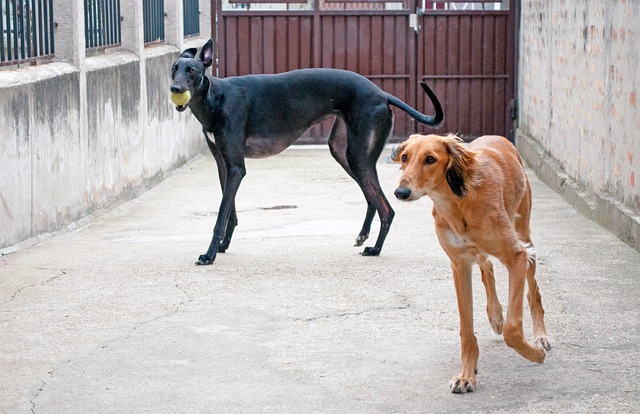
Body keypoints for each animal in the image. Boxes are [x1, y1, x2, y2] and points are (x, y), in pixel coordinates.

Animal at [170, 38, 442, 266]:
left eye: (192, 71)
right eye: (174, 68)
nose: (175, 89)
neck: (216, 98)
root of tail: (382, 93)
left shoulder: (236, 168)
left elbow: (220, 215)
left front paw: (209, 255)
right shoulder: (224, 165)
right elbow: (230, 212)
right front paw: (224, 245)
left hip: (358, 155)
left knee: (387, 208)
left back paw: (375, 249)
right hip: (343, 152)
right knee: (372, 198)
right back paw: (363, 237)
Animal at [392, 134, 552, 392]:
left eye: (430, 159)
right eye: (405, 157)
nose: (401, 192)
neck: (458, 200)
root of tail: (497, 136)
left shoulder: (517, 255)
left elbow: (512, 329)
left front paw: (535, 353)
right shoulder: (459, 264)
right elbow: (466, 330)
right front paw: (466, 375)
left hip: (525, 236)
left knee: (532, 291)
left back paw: (540, 336)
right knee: (486, 265)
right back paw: (495, 315)